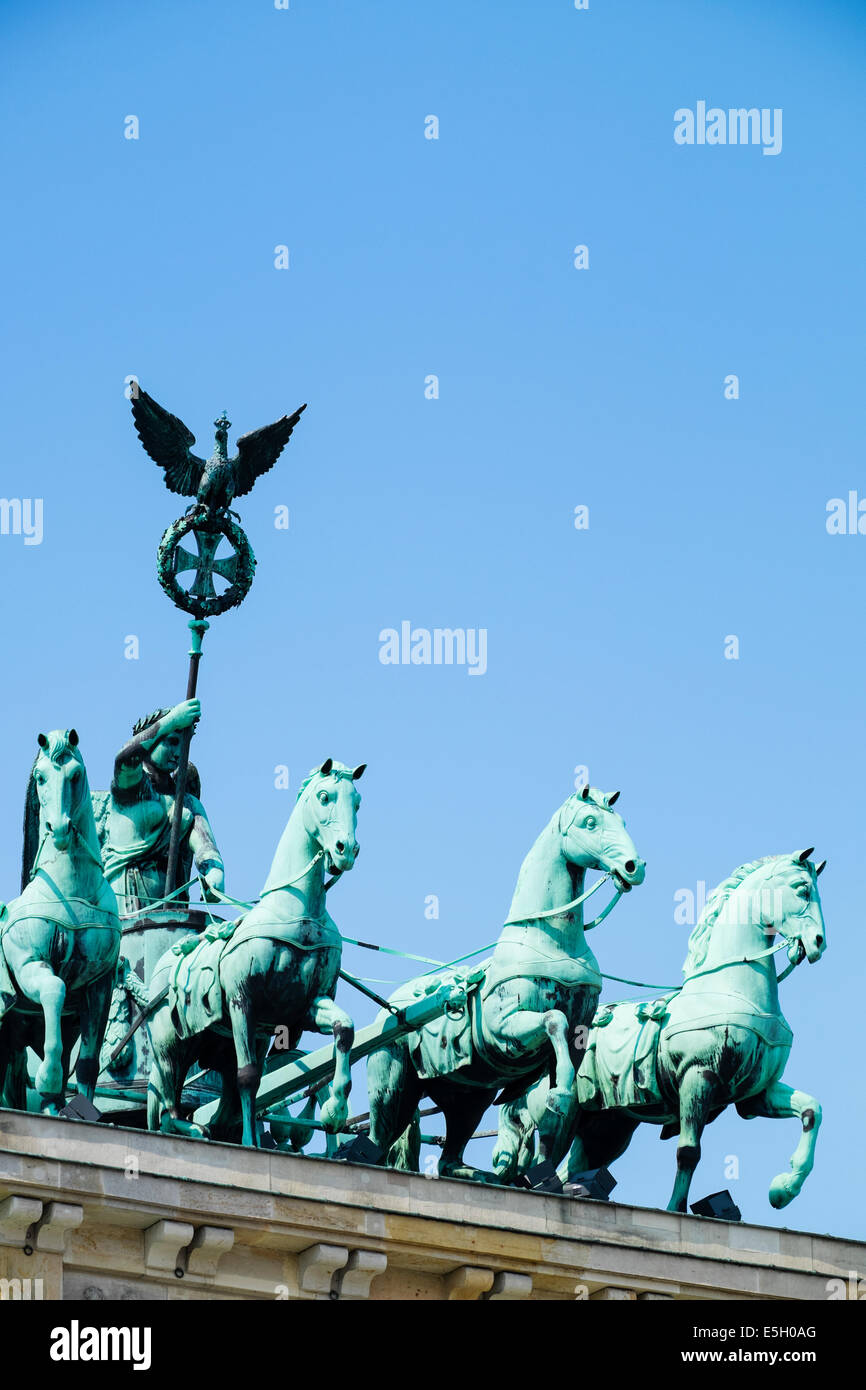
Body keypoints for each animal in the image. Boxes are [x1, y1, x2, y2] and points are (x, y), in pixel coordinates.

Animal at [0, 733, 122, 1112]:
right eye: (41, 778)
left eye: (75, 774)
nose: (61, 829)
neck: (70, 888)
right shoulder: (31, 965)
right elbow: (55, 988)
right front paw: (49, 1077)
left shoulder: (99, 984)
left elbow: (88, 1062)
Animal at [147, 767, 364, 1145]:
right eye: (324, 797)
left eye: (358, 802)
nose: (346, 849)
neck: (297, 911)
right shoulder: (241, 1002)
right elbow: (248, 1077)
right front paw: (250, 1144)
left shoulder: (305, 1007)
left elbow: (345, 1029)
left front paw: (335, 1110)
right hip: (170, 1046)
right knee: (167, 1105)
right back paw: (194, 1128)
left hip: (218, 1045)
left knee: (216, 1102)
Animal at [366, 789, 644, 1178]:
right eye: (590, 822)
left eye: (622, 822)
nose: (635, 867)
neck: (550, 942)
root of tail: (392, 1008)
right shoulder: (504, 1028)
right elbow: (553, 1020)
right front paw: (560, 1094)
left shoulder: (580, 1032)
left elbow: (560, 1088)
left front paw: (559, 1099)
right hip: (392, 1088)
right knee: (377, 1141)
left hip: (470, 1096)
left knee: (451, 1153)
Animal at [494, 839, 828, 1212]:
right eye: (802, 889)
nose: (818, 942)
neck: (729, 991)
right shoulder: (698, 1078)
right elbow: (689, 1151)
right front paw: (676, 1209)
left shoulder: (755, 1094)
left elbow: (812, 1110)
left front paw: (784, 1188)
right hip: (562, 1113)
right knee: (546, 1153)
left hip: (607, 1129)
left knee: (572, 1167)